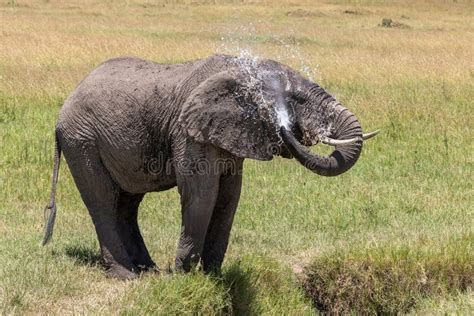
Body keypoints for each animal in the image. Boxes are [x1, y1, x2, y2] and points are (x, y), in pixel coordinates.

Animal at [43, 53, 378, 278]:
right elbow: (202, 194)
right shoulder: (188, 133)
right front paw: (183, 274)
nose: (286, 126)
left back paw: (148, 269)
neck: (242, 73)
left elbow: (229, 197)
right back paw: (126, 275)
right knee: (102, 200)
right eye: (298, 101)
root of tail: (63, 109)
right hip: (81, 140)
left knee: (127, 203)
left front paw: (213, 275)